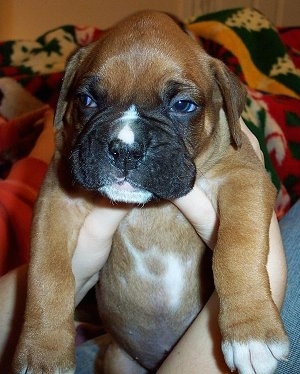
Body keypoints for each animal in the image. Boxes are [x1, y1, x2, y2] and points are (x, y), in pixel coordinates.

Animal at [13, 10, 288, 374]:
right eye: (86, 100)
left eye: (183, 105)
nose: (124, 149)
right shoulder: (56, 202)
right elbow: (47, 273)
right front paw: (42, 352)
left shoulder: (243, 178)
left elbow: (236, 248)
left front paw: (251, 332)